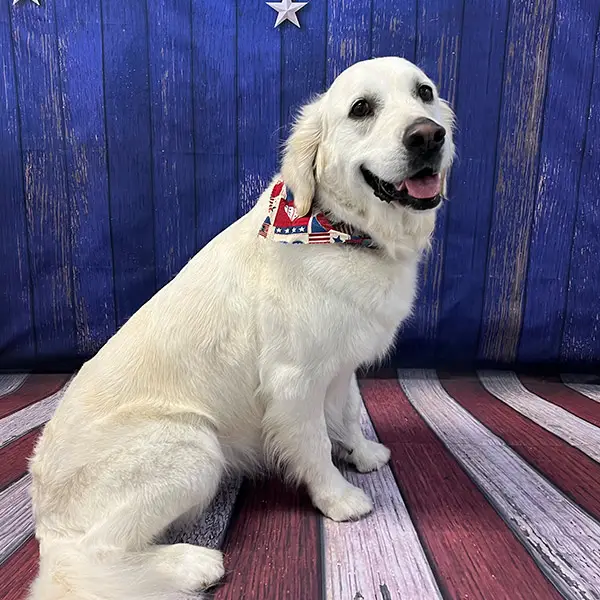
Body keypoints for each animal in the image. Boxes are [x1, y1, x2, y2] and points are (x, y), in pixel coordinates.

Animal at [28, 57, 454, 600]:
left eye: (425, 93)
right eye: (361, 108)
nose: (428, 136)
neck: (337, 228)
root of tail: (44, 522)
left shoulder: (340, 366)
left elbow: (347, 415)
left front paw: (362, 453)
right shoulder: (293, 381)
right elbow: (315, 444)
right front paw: (339, 498)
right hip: (193, 447)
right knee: (91, 556)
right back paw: (192, 563)